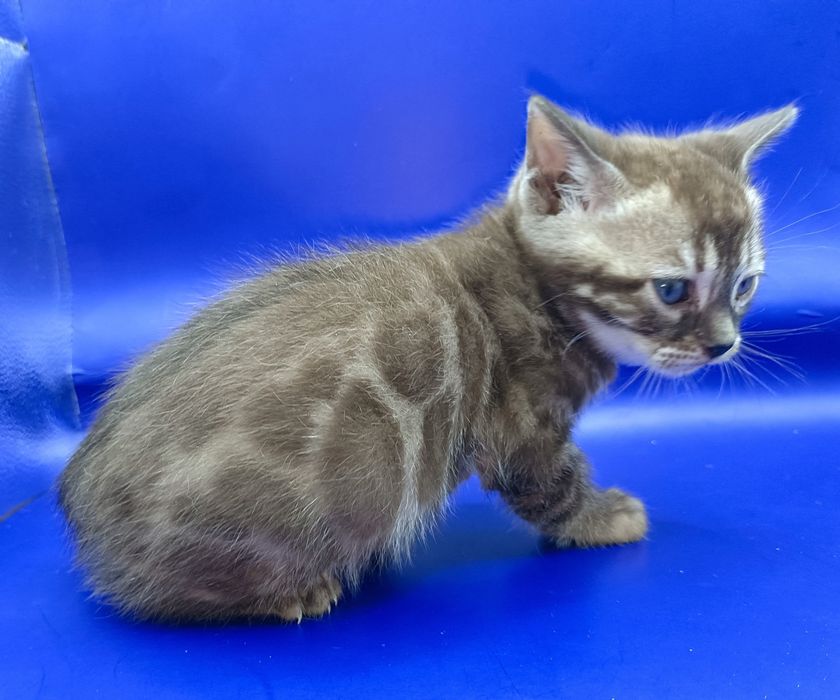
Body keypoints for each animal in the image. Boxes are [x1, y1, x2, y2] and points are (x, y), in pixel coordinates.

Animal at [58, 94, 797, 622]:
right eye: (672, 289)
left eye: (744, 285)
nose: (723, 343)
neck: (530, 288)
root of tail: (83, 515)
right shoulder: (523, 429)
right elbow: (553, 482)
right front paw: (602, 517)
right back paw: (295, 591)